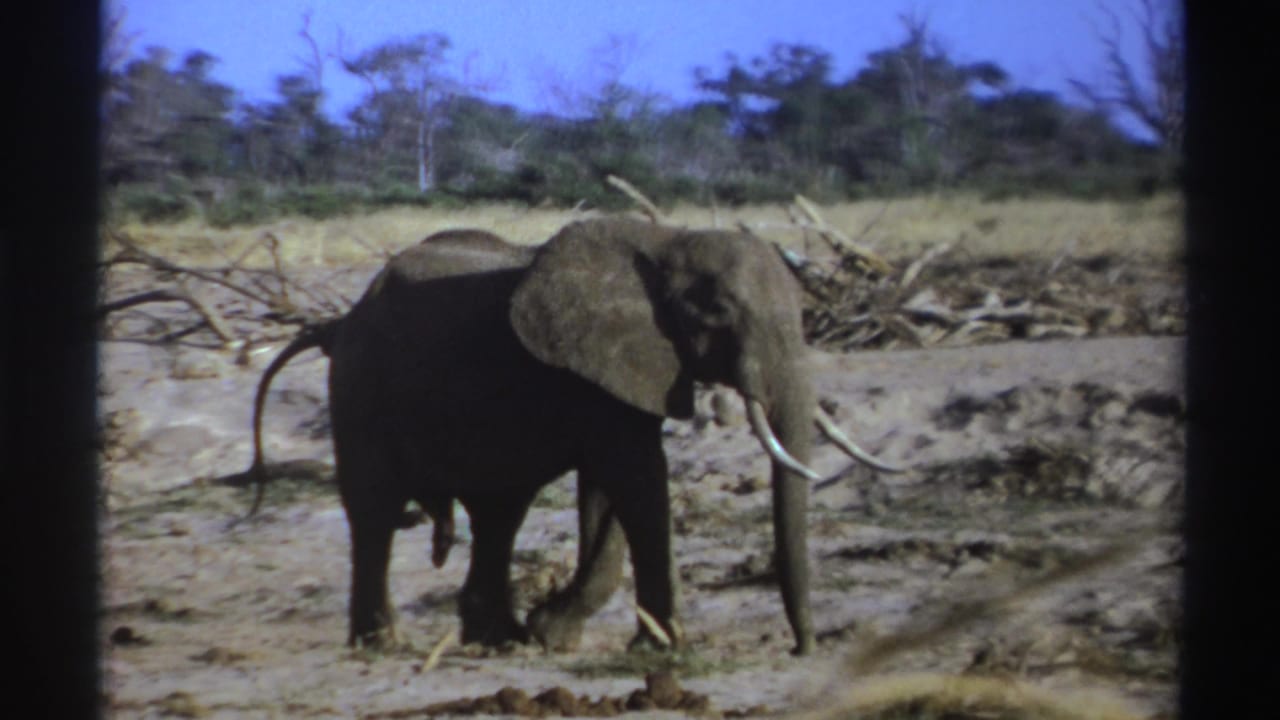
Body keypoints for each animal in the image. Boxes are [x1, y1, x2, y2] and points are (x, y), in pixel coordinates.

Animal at [298, 216, 901, 656]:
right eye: (718, 313)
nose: (803, 651)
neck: (668, 241)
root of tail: (346, 316)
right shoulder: (594, 366)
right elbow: (636, 477)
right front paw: (662, 650)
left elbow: (609, 489)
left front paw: (555, 634)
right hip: (358, 388)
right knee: (375, 511)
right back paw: (382, 644)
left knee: (499, 514)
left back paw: (497, 640)